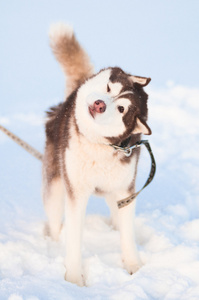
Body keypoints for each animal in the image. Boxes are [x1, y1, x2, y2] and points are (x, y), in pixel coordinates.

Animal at [42, 23, 152, 286]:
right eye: (109, 88)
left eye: (121, 108)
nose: (100, 104)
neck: (97, 145)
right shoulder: (76, 192)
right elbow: (74, 239)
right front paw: (73, 279)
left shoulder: (125, 191)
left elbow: (127, 234)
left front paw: (133, 265)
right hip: (56, 187)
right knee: (54, 223)